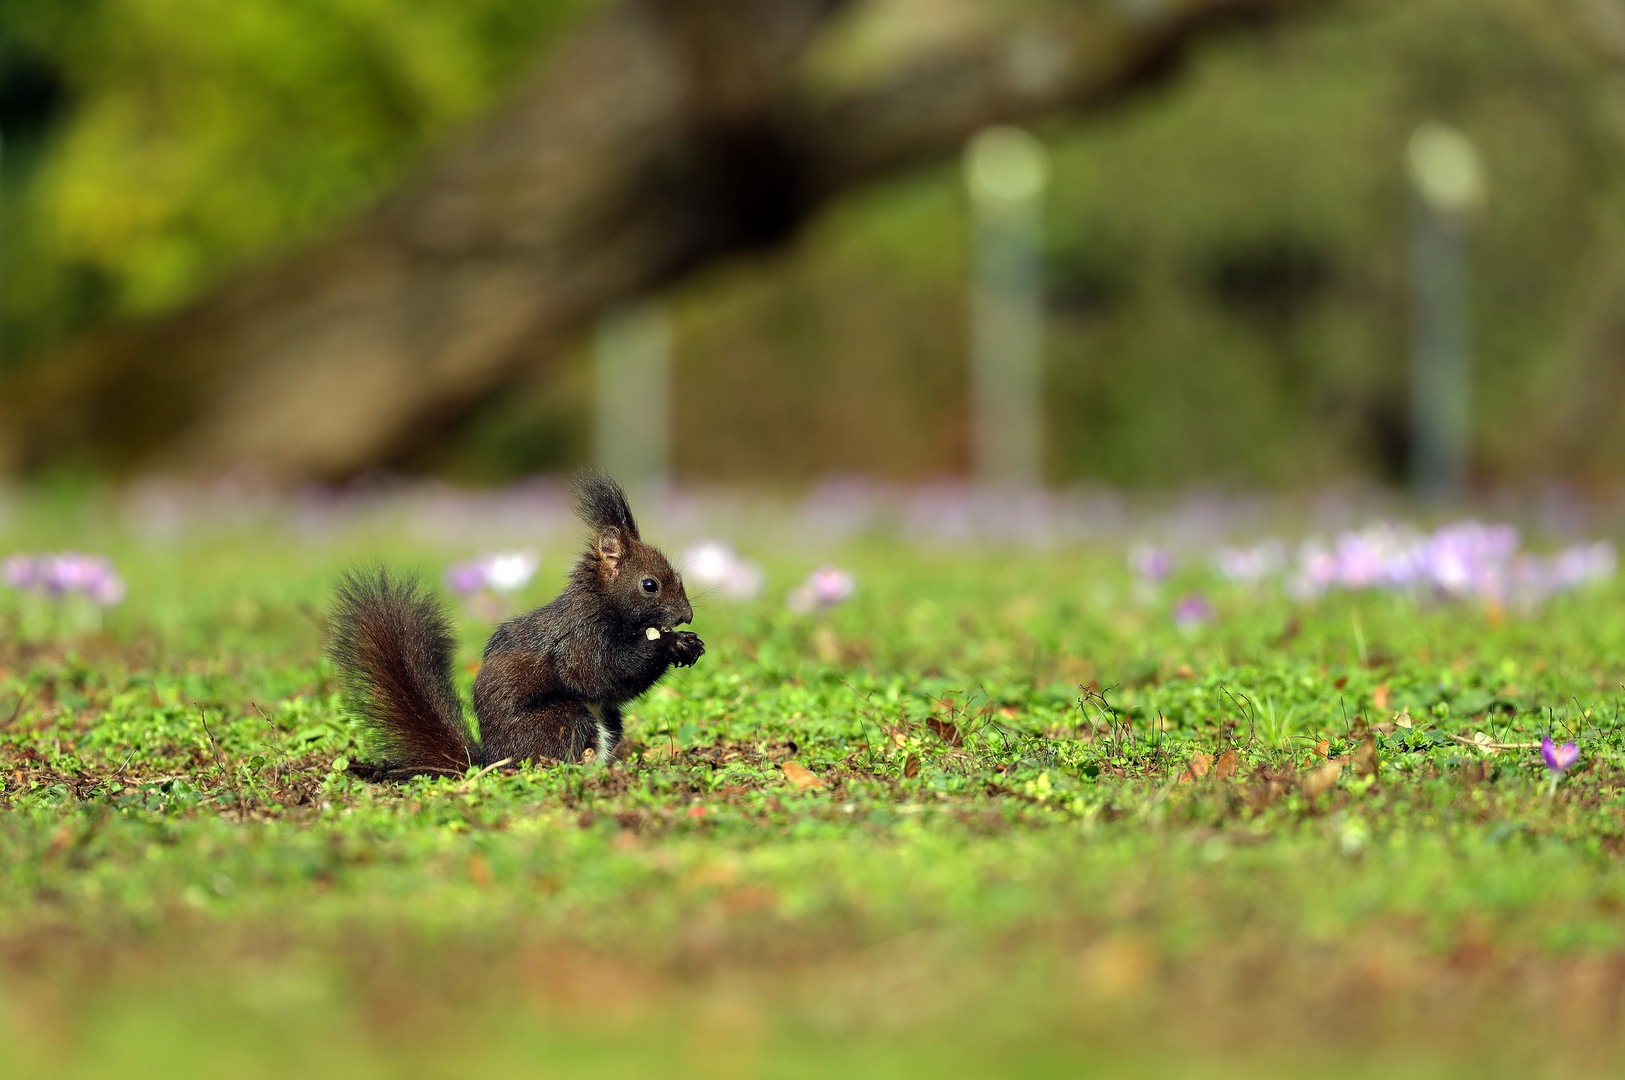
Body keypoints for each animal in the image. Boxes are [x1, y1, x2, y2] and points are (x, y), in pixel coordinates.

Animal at [329, 470, 705, 776]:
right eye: (649, 585)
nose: (686, 615)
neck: (603, 604)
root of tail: (490, 761)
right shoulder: (580, 637)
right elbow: (599, 674)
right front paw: (672, 643)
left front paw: (691, 643)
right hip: (562, 719)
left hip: (607, 721)